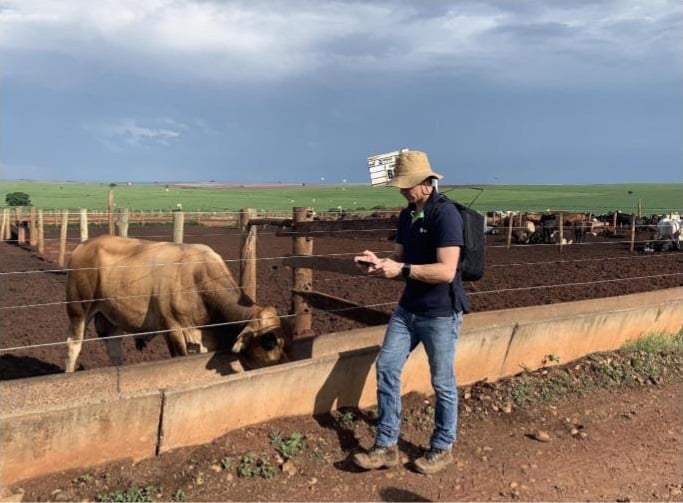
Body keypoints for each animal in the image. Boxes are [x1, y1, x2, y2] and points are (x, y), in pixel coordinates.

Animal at [65, 234, 288, 372]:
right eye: (269, 342)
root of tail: (84, 244)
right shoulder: (173, 329)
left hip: (110, 315)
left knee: (113, 346)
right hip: (79, 307)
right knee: (73, 344)